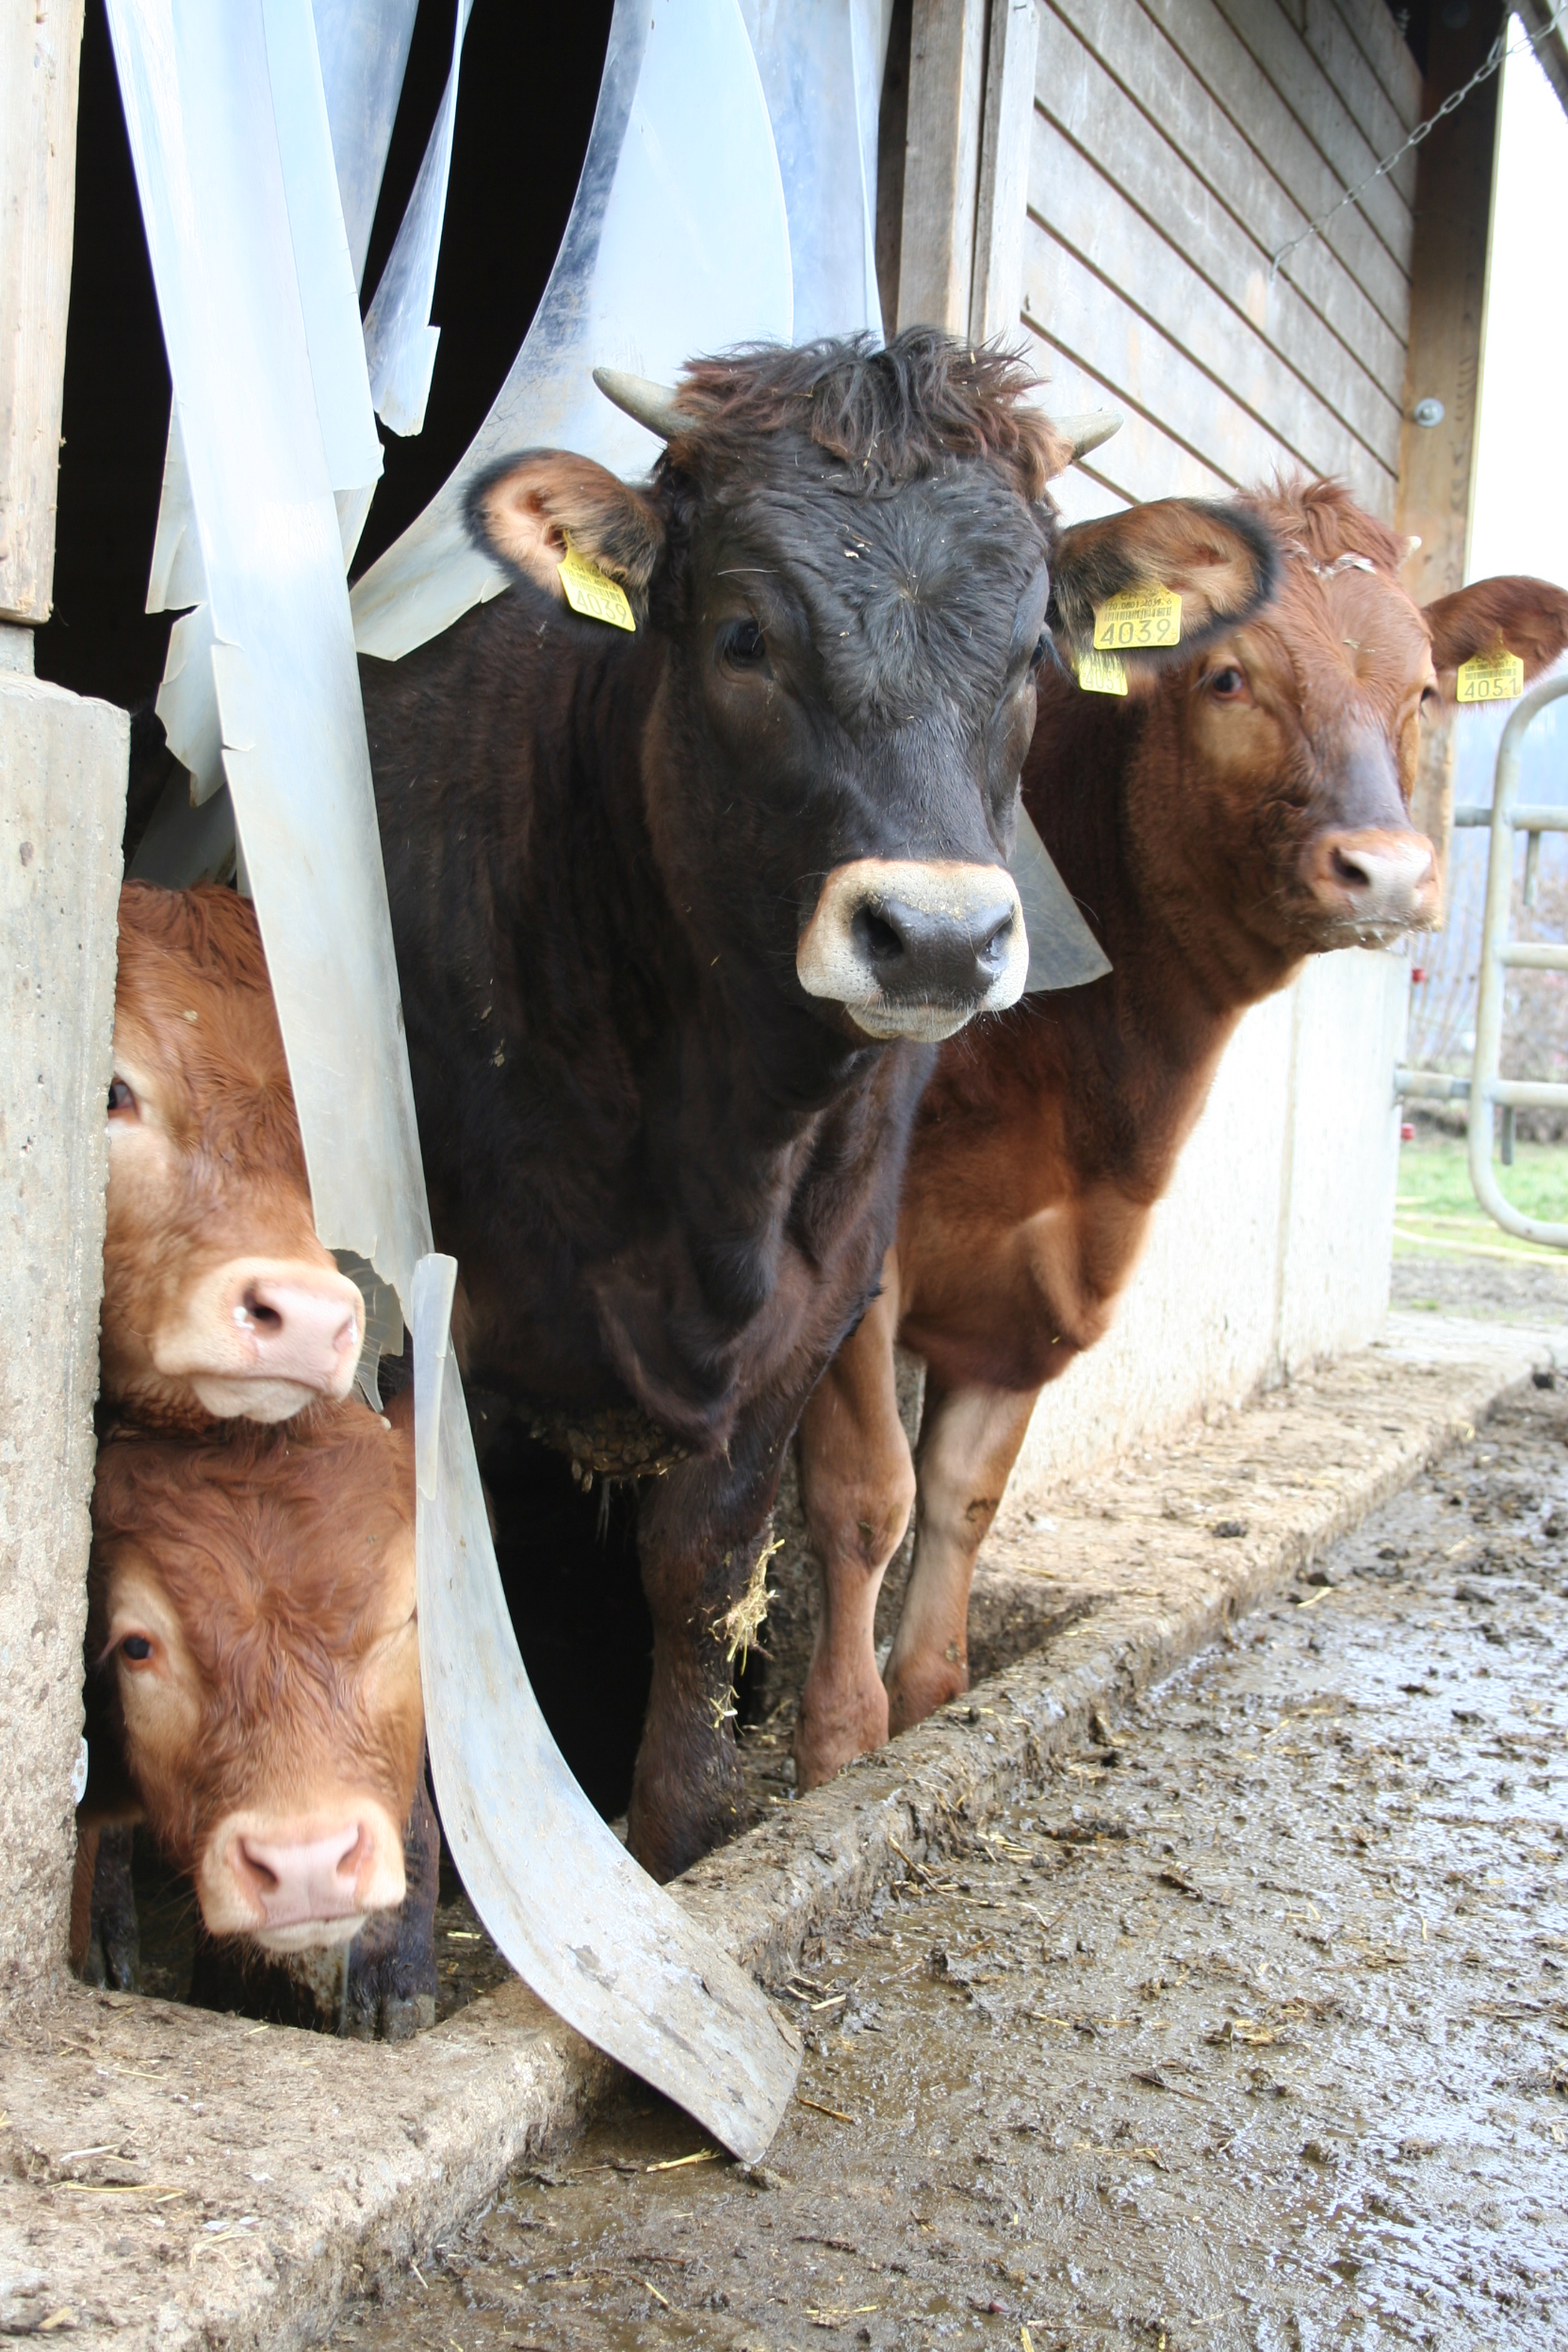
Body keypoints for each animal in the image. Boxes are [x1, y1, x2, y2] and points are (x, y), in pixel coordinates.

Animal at [362, 326, 1279, 1871]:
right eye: (743, 636)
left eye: (1031, 651)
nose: (938, 937)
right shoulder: (447, 1299)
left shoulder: (826, 1288)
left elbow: (704, 1560)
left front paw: (673, 1837)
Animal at [799, 472, 1568, 1777]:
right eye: (1225, 678)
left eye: (1421, 688)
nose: (1387, 871)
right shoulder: (856, 1252)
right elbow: (867, 1497)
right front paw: (837, 1759)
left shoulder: (1046, 1280)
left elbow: (959, 1504)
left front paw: (926, 1699)